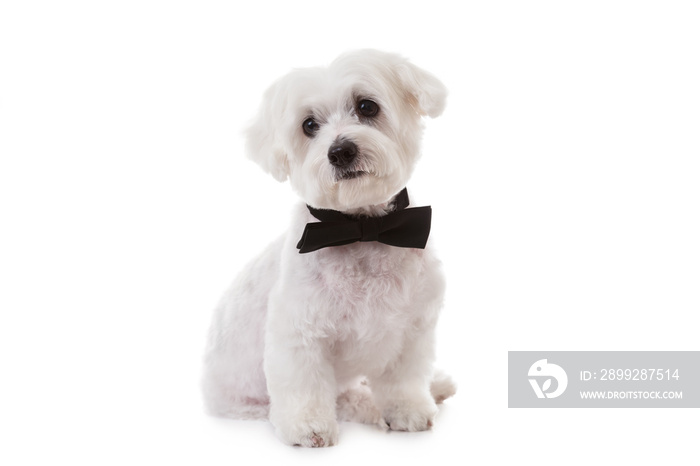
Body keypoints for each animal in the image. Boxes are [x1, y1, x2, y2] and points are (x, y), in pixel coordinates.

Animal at [201, 49, 454, 446]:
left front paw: (408, 409)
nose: (340, 151)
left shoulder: (412, 328)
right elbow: (304, 384)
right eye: (309, 125)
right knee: (344, 398)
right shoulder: (299, 333)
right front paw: (308, 426)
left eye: (367, 106)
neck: (362, 229)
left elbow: (403, 379)